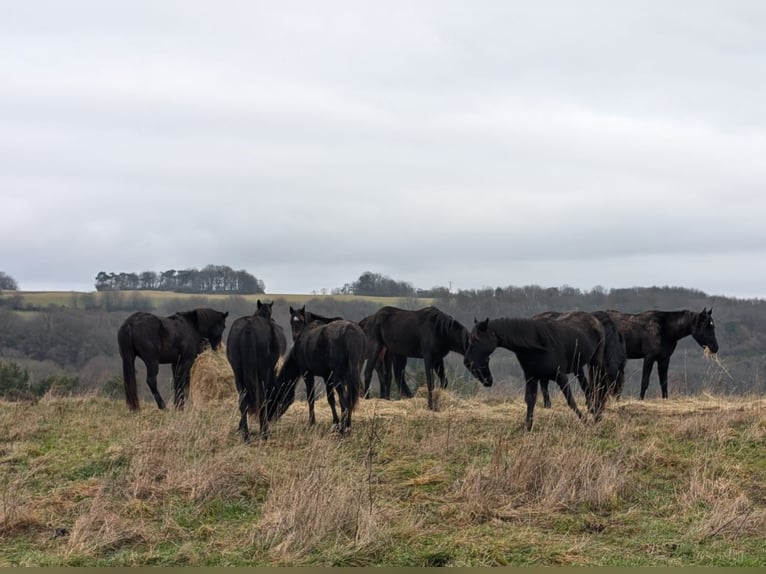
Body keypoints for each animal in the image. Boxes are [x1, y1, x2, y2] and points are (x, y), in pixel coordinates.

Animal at [228, 302, 292, 446]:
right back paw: (264, 434)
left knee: (243, 401)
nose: (275, 418)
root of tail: (248, 328)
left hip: (238, 373)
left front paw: (239, 428)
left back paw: (246, 436)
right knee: (261, 399)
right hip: (262, 373)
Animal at [462, 320, 608, 432]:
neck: (537, 345)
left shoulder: (560, 376)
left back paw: (597, 415)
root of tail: (596, 321)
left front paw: (585, 421)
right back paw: (594, 411)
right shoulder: (531, 378)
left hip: (595, 363)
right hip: (578, 368)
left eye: (477, 339)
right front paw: (528, 427)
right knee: (587, 389)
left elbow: (570, 400)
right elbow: (530, 400)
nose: (467, 361)